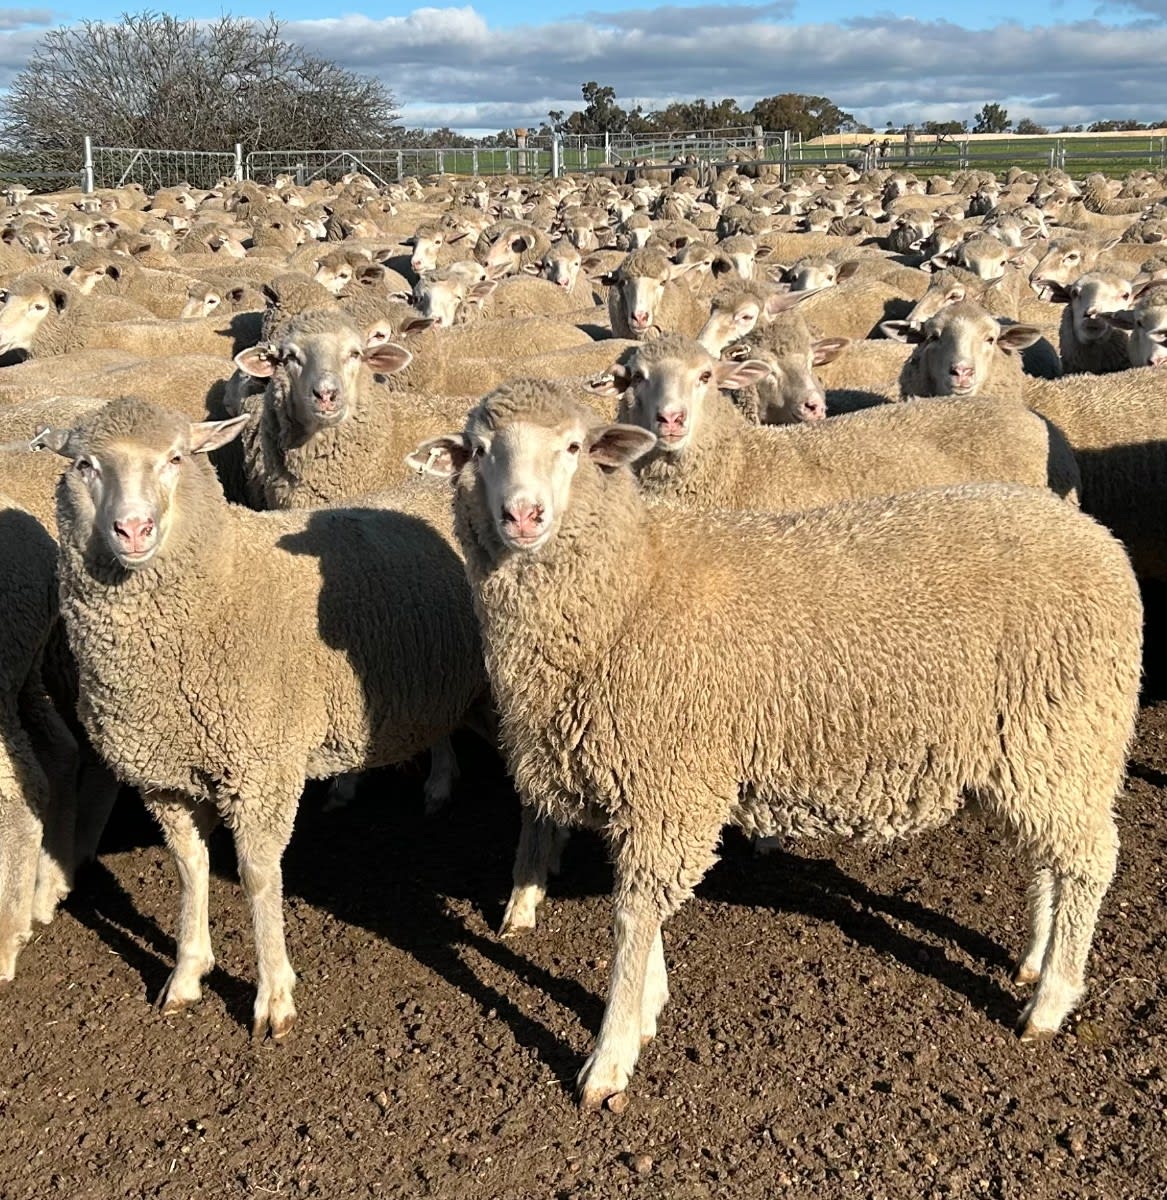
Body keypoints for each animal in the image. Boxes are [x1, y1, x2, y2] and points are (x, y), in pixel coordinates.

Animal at [43, 396, 487, 1038]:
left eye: (177, 458)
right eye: (84, 464)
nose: (133, 529)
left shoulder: (260, 770)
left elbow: (256, 876)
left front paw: (273, 995)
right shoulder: (163, 779)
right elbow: (189, 867)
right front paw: (187, 972)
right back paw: (438, 781)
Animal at [410, 379, 1140, 1111]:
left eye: (571, 447)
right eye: (478, 449)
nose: (522, 515)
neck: (630, 585)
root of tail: (1100, 541)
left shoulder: (669, 779)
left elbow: (632, 917)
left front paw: (610, 1055)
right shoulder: (645, 784)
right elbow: (642, 909)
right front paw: (647, 1007)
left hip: (1063, 729)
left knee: (1089, 861)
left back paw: (1051, 999)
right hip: (1047, 747)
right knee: (1054, 857)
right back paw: (1035, 958)